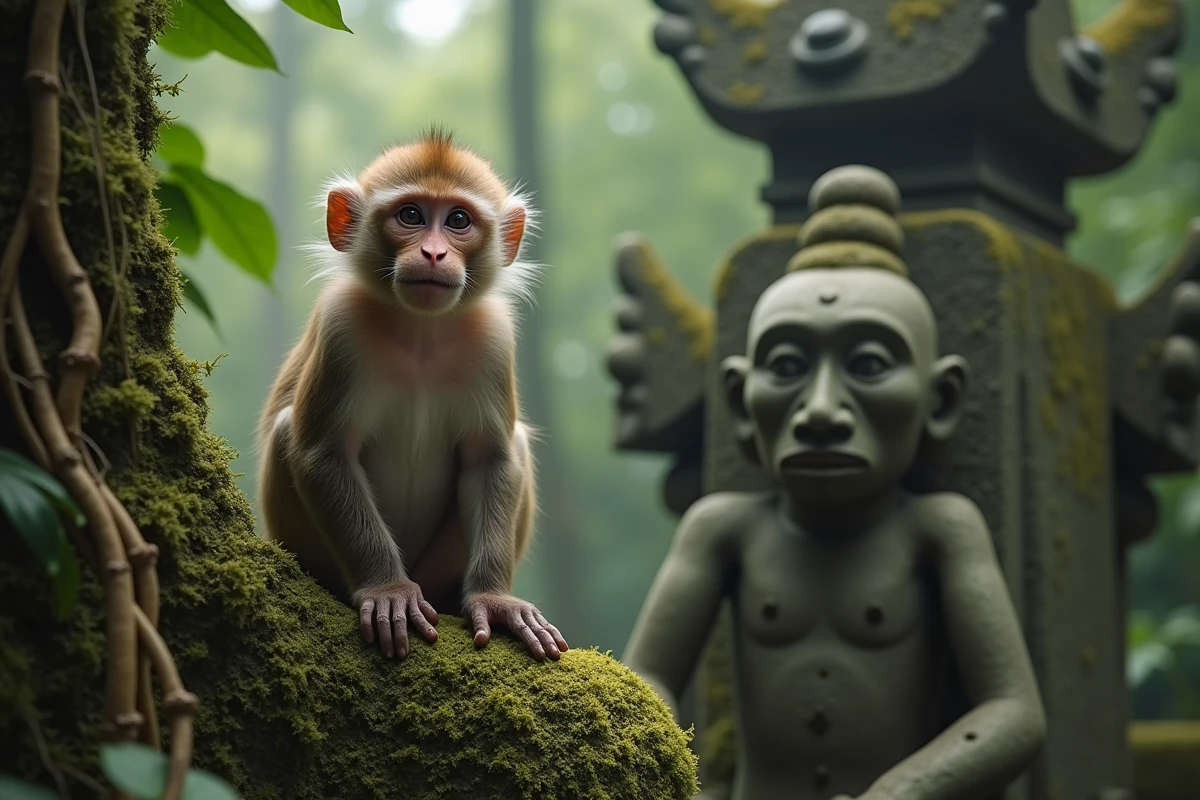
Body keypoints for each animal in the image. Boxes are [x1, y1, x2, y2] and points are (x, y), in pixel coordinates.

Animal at [256, 129, 568, 663]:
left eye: (458, 220)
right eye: (411, 215)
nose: (434, 254)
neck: (421, 332)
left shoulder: (493, 338)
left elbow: (491, 457)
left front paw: (495, 599)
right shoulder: (341, 328)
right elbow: (321, 452)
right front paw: (388, 592)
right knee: (285, 432)